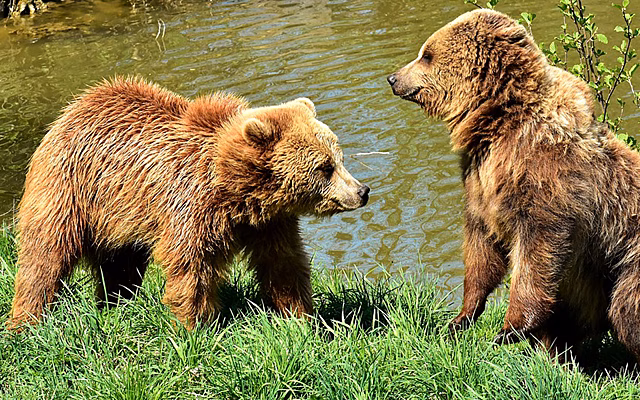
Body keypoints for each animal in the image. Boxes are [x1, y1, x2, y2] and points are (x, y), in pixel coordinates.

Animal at [9, 77, 370, 330]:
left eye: (339, 158)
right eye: (325, 167)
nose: (362, 191)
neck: (237, 193)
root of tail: (73, 108)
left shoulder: (269, 223)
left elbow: (283, 264)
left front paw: (302, 318)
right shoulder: (191, 208)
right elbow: (190, 269)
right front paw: (194, 327)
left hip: (118, 216)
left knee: (120, 265)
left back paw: (115, 303)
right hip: (69, 190)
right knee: (44, 256)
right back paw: (26, 322)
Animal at [388, 9, 640, 361]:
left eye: (426, 55)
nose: (393, 78)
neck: (498, 123)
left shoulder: (545, 178)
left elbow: (538, 250)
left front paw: (509, 329)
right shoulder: (480, 179)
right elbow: (481, 246)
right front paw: (462, 316)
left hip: (627, 259)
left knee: (626, 313)